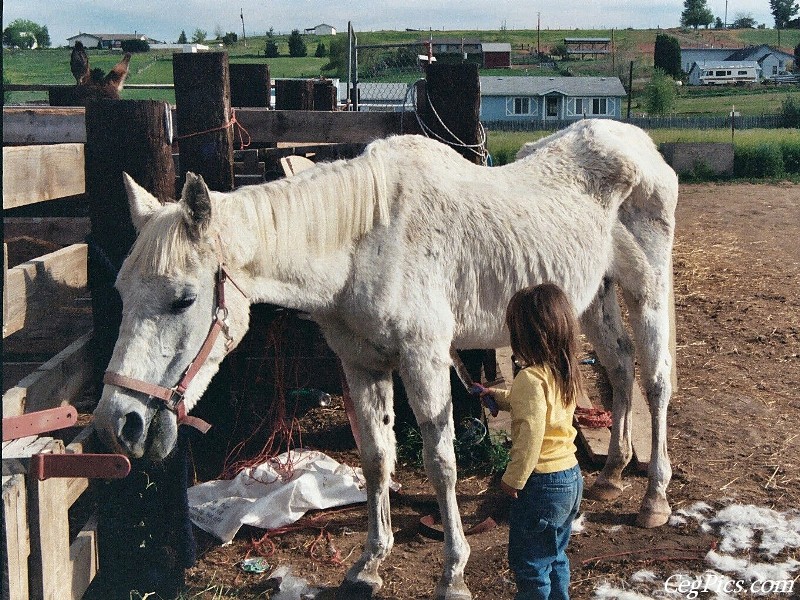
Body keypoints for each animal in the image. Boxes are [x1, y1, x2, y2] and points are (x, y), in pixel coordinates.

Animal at [95, 119, 680, 596]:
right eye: (119, 292)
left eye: (183, 299)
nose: (120, 423)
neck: (365, 244)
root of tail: (638, 143)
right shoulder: (363, 365)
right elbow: (377, 458)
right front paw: (370, 563)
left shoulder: (424, 360)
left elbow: (440, 464)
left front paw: (454, 572)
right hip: (595, 295)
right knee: (620, 367)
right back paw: (611, 472)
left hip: (646, 290)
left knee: (654, 381)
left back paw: (653, 499)